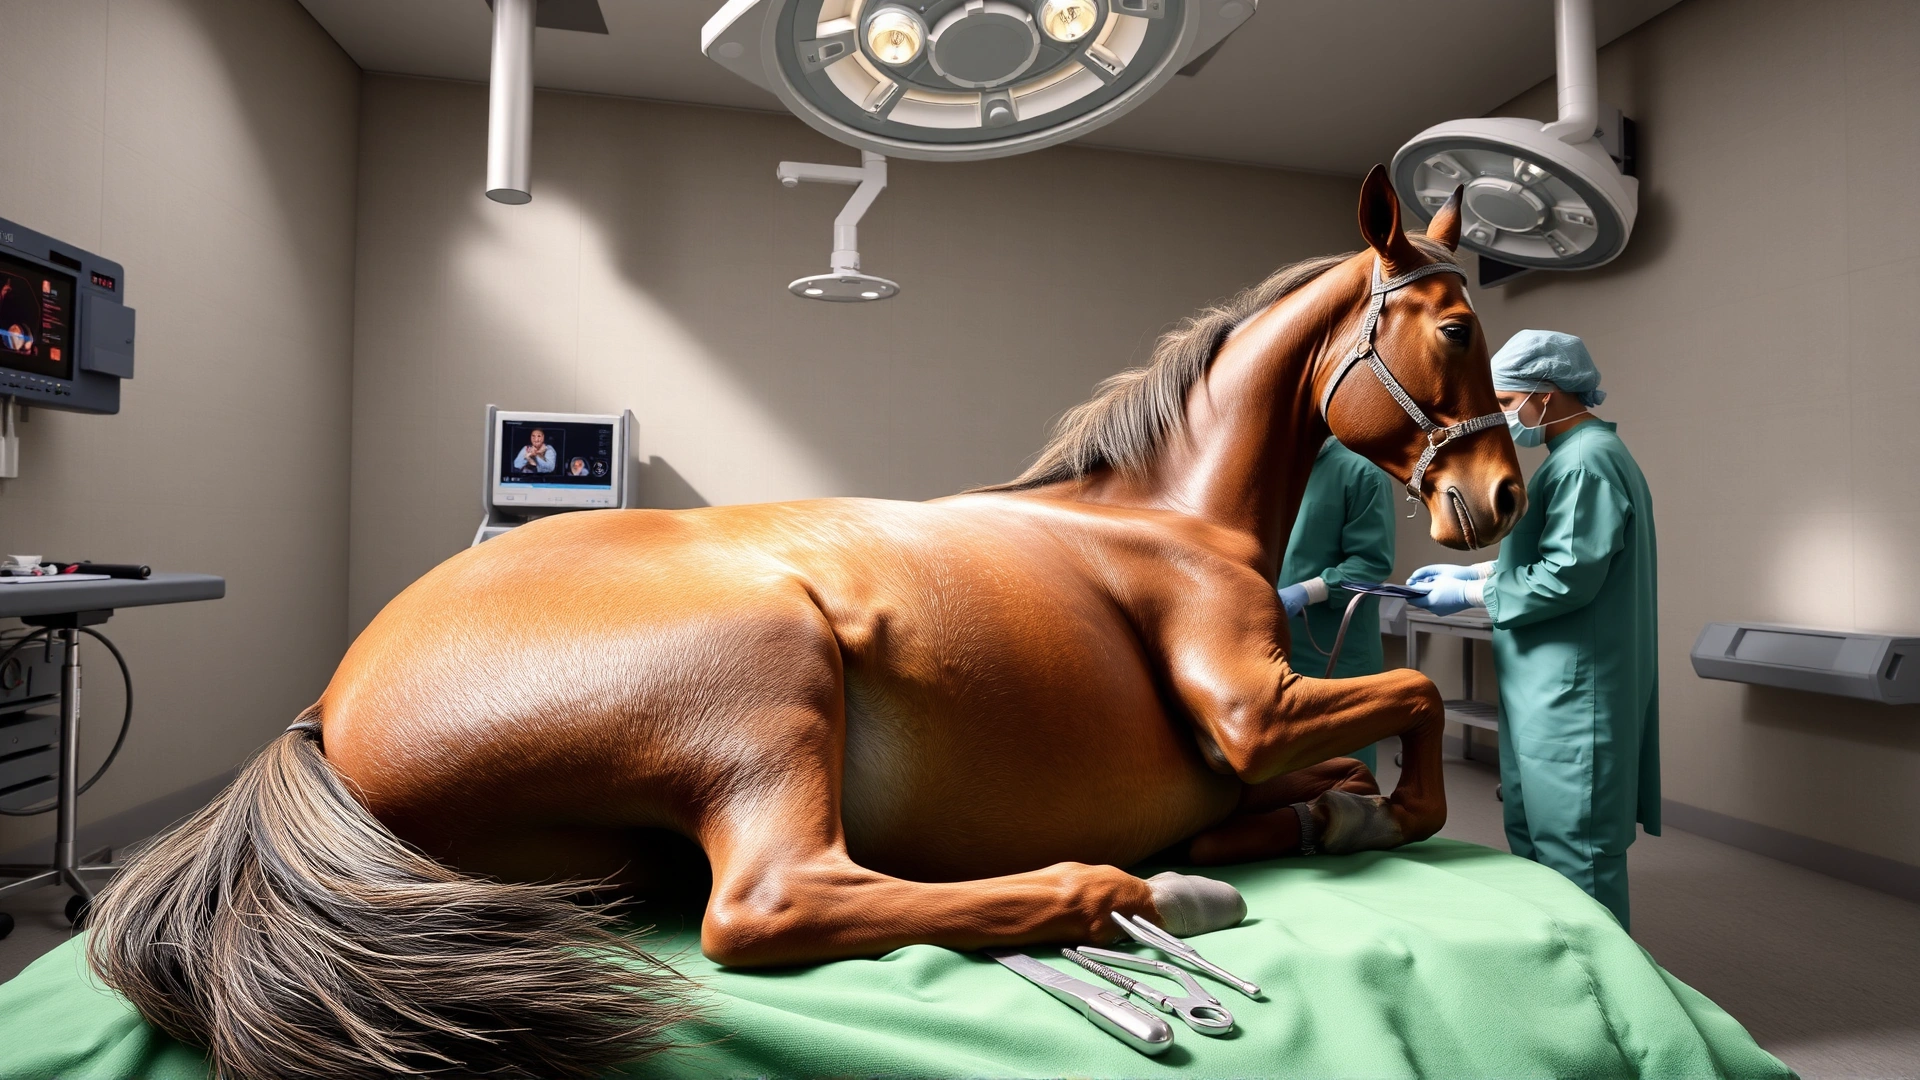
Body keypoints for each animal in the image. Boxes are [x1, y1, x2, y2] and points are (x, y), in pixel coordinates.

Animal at [88, 167, 1525, 1080]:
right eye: (1458, 326)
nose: (1504, 496)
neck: (1166, 514)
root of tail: (329, 707)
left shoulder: (1259, 745)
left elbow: (1336, 771)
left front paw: (1321, 820)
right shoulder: (1252, 712)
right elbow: (1409, 710)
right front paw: (1380, 820)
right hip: (769, 685)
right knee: (778, 903)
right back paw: (1131, 887)